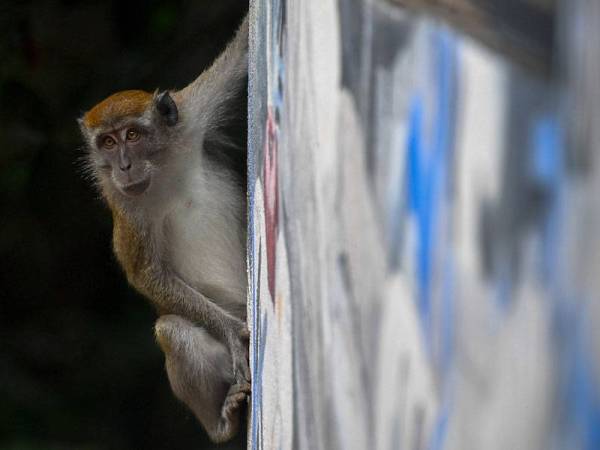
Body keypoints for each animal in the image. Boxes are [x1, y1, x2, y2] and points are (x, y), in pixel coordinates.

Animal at [78, 14, 251, 442]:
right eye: (107, 143)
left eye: (132, 135)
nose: (124, 166)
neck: (163, 165)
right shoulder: (127, 206)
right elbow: (146, 272)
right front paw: (231, 331)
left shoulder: (192, 114)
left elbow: (240, 56)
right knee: (172, 328)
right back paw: (221, 424)